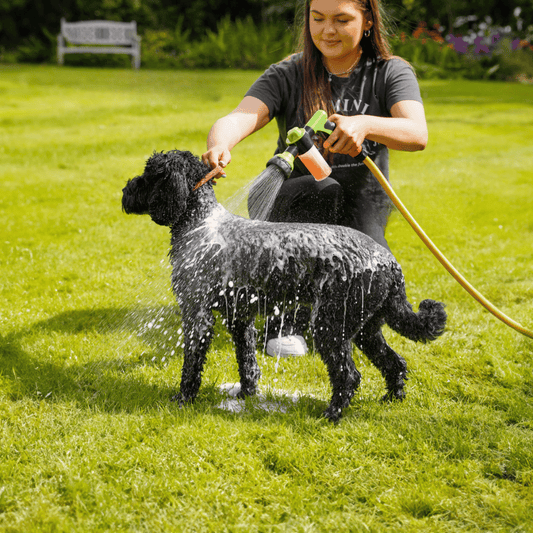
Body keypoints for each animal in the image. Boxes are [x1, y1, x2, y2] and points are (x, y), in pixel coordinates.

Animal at [121, 149, 444, 420]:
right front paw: (247, 393)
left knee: (349, 375)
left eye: (148, 173)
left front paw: (184, 397)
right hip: (364, 327)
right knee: (395, 363)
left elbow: (192, 365)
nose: (124, 189)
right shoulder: (239, 316)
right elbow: (247, 362)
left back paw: (333, 413)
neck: (200, 223)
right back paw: (392, 399)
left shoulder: (197, 315)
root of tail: (389, 262)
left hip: (330, 325)